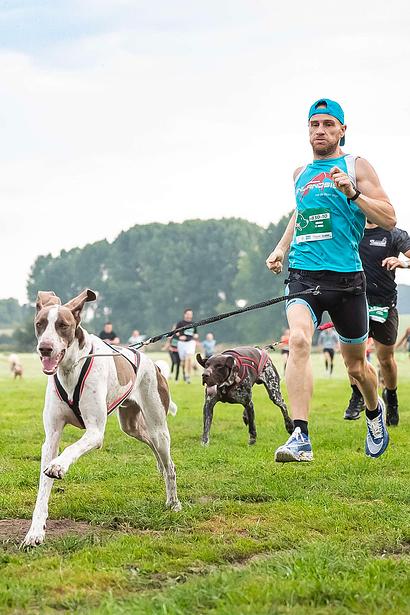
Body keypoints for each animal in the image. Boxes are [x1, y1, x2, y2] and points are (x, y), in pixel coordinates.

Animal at [22, 290, 181, 548]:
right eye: (40, 324)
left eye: (63, 325)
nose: (44, 348)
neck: (70, 368)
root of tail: (153, 364)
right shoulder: (51, 437)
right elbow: (43, 489)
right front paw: (35, 532)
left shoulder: (95, 432)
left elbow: (70, 449)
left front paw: (58, 465)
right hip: (130, 426)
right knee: (150, 444)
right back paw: (159, 466)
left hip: (158, 426)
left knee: (170, 464)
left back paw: (174, 502)